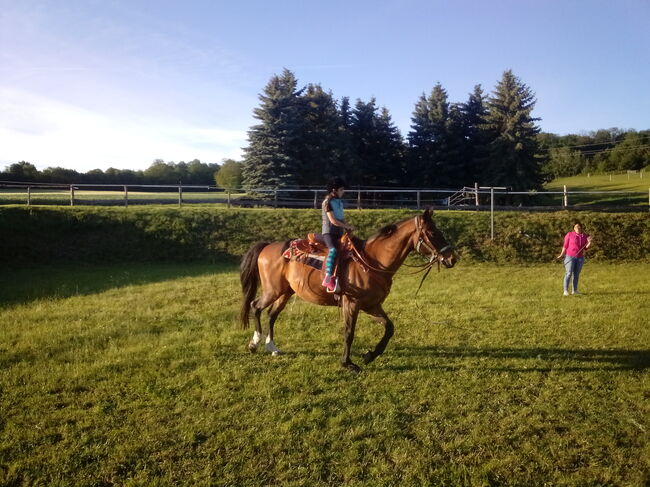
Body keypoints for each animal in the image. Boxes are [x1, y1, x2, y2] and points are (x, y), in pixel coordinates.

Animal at [238, 210, 456, 374]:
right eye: (432, 232)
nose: (452, 258)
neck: (372, 261)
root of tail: (267, 246)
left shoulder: (372, 305)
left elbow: (389, 328)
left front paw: (370, 355)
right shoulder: (351, 303)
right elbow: (349, 332)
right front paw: (348, 363)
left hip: (285, 292)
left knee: (271, 314)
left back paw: (272, 347)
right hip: (273, 290)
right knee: (255, 306)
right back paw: (254, 343)